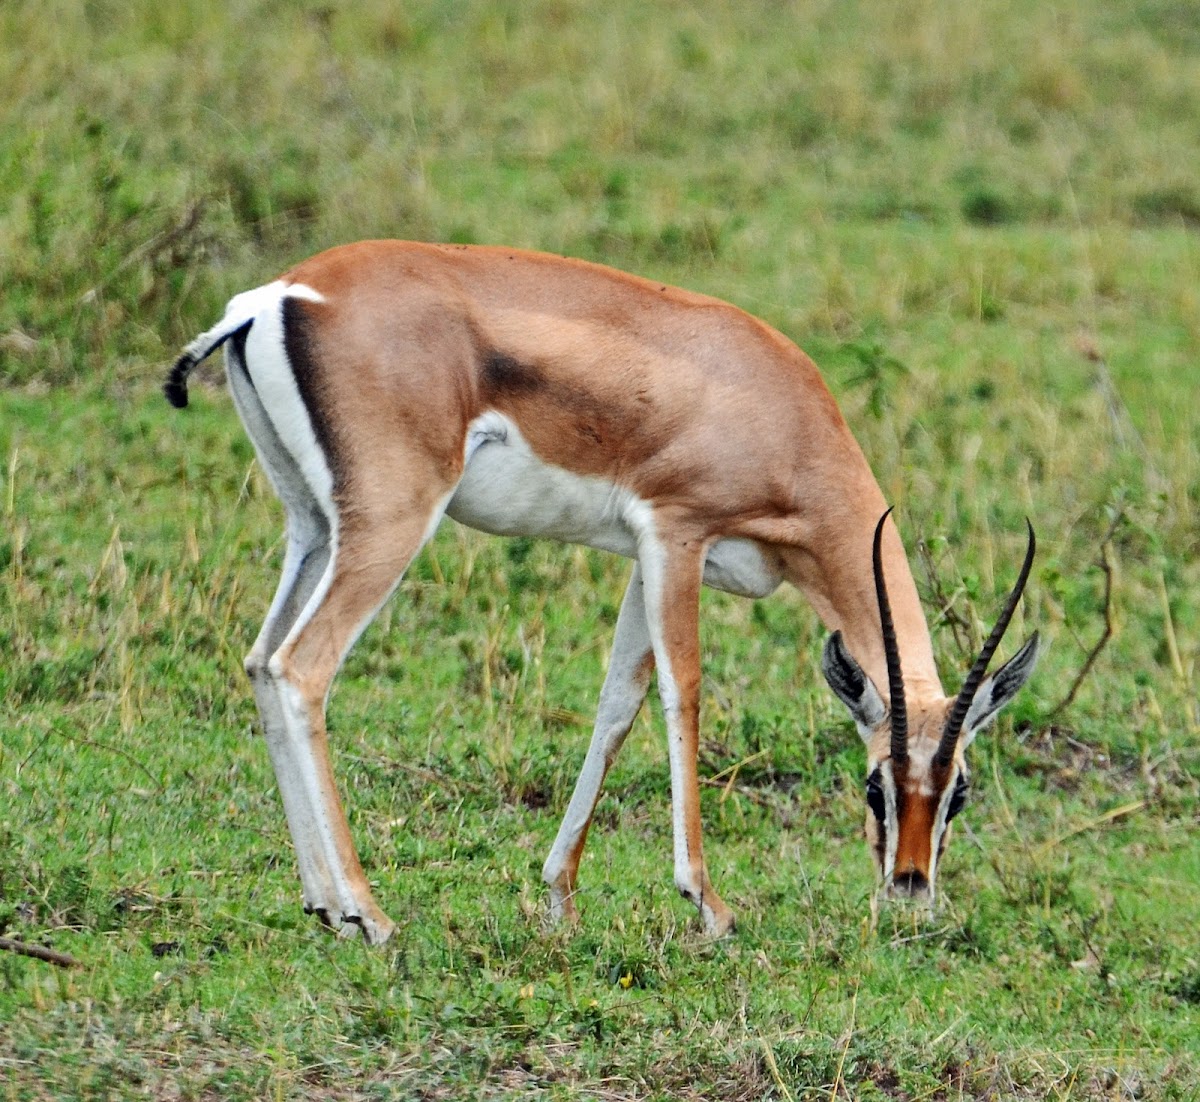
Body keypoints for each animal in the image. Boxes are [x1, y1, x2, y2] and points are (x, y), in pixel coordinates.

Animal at [165, 240, 1039, 944]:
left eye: (958, 790)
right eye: (875, 784)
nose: (910, 888)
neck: (777, 412)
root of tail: (274, 297)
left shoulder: (641, 559)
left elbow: (618, 701)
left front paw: (559, 897)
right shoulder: (677, 534)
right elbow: (684, 694)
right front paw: (708, 904)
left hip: (314, 525)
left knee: (260, 661)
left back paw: (323, 903)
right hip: (392, 522)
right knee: (302, 666)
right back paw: (368, 914)